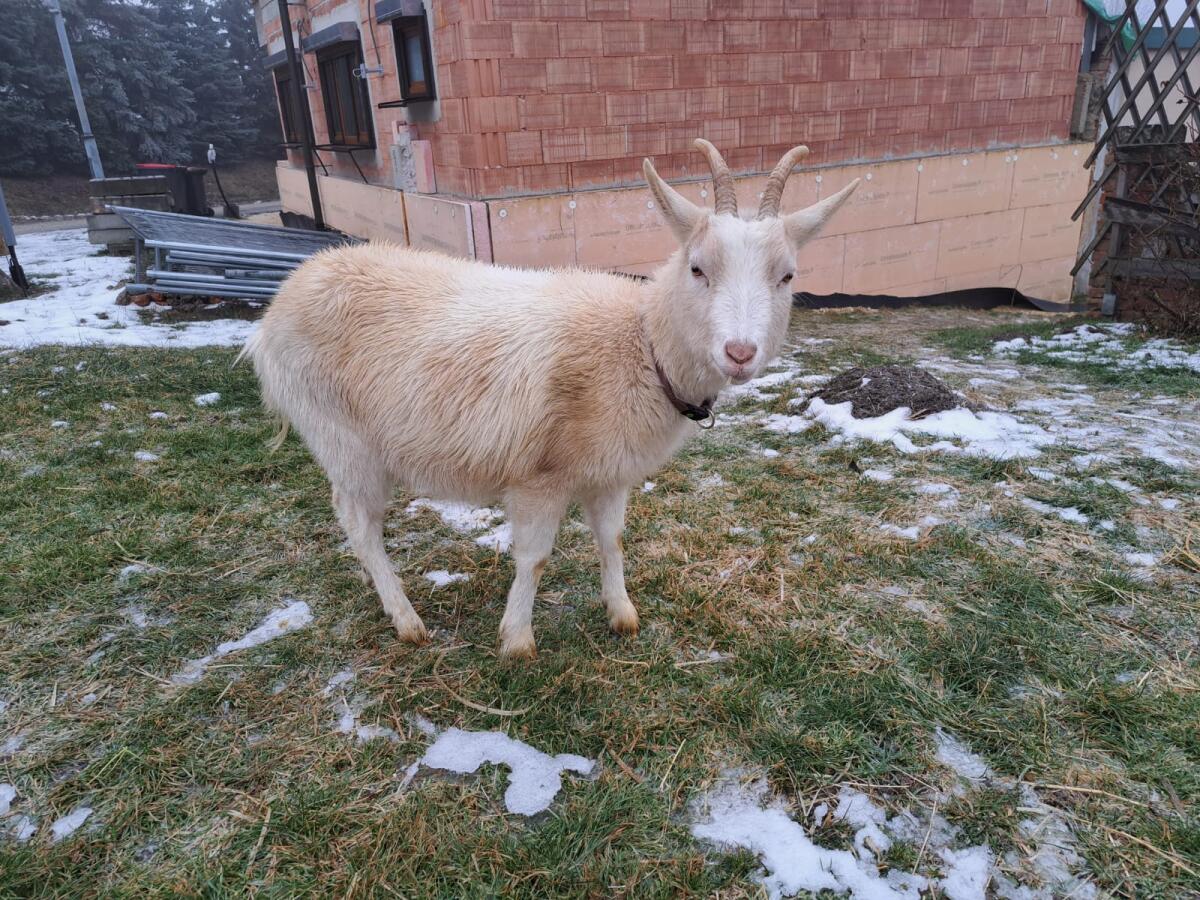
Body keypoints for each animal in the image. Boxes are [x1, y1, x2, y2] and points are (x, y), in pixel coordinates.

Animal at [244, 139, 857, 659]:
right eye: (697, 266)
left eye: (787, 275)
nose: (740, 352)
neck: (640, 347)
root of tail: (282, 303)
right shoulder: (539, 477)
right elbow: (535, 559)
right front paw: (517, 640)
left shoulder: (609, 474)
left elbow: (612, 541)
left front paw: (622, 613)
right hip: (342, 437)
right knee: (359, 523)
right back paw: (406, 619)